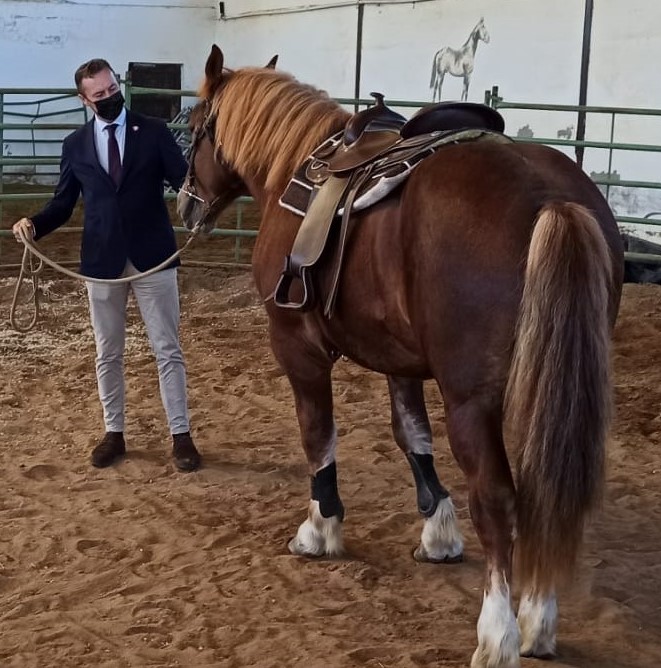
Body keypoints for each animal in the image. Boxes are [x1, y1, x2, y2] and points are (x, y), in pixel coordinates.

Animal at [178, 44, 620, 664]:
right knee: (543, 497)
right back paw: (538, 620)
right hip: (550, 388)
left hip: (471, 400)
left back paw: (499, 632)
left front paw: (320, 528)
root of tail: (549, 199)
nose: (185, 205)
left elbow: (318, 433)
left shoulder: (297, 347)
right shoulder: (399, 358)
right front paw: (438, 532)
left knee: (498, 499)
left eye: (192, 128)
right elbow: (411, 433)